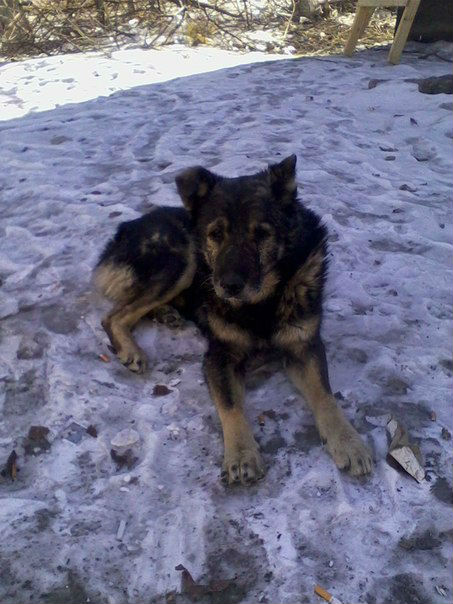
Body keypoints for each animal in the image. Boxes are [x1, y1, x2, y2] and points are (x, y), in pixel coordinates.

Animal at [93, 155, 373, 485]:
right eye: (216, 234)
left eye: (262, 234)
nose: (228, 286)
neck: (261, 303)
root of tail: (127, 226)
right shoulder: (220, 356)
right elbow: (230, 405)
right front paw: (241, 454)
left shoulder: (304, 347)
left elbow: (326, 396)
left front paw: (348, 441)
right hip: (184, 260)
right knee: (114, 315)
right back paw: (131, 349)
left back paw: (166, 314)